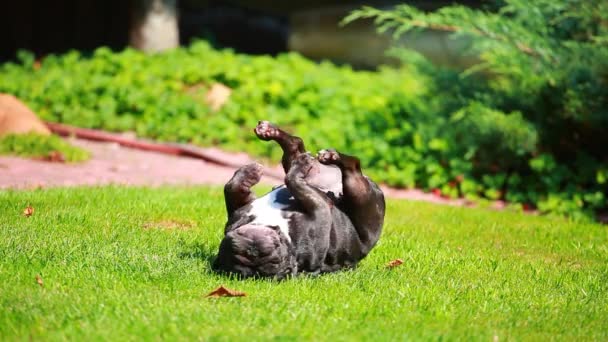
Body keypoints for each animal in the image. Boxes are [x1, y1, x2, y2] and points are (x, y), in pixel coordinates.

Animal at [214, 120, 384, 278]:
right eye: (276, 261)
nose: (253, 251)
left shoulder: (237, 211)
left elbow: (231, 187)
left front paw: (249, 172)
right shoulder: (320, 209)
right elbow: (292, 180)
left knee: (295, 144)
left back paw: (270, 132)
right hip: (360, 194)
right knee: (352, 166)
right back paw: (329, 157)